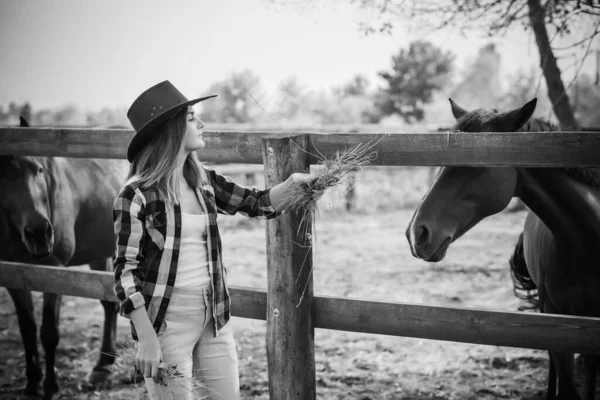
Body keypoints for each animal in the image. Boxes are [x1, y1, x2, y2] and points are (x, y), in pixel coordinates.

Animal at [1, 117, 129, 398]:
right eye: (0, 176)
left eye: (38, 170)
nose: (40, 233)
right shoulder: (14, 274)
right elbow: (27, 330)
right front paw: (32, 383)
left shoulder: (55, 270)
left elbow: (49, 332)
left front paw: (50, 386)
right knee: (111, 304)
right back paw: (103, 366)